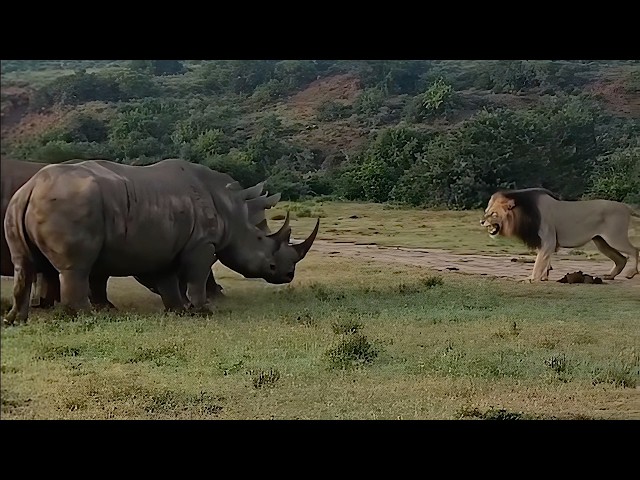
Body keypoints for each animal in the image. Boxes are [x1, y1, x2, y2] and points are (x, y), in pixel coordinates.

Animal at [3, 158, 319, 324]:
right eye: (263, 241)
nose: (288, 275)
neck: (234, 212)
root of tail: (32, 186)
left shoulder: (165, 246)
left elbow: (168, 281)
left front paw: (178, 311)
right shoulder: (202, 244)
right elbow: (196, 277)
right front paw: (204, 311)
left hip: (18, 204)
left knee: (24, 265)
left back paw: (15, 320)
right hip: (70, 204)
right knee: (77, 268)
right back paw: (88, 317)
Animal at [480, 188, 639, 282]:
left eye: (493, 214)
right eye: (486, 211)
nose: (481, 221)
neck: (524, 212)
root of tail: (626, 207)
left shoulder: (548, 239)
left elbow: (539, 262)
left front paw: (531, 278)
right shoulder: (544, 242)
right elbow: (545, 260)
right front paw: (544, 277)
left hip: (614, 237)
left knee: (634, 250)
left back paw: (631, 273)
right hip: (601, 241)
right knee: (621, 259)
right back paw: (610, 276)